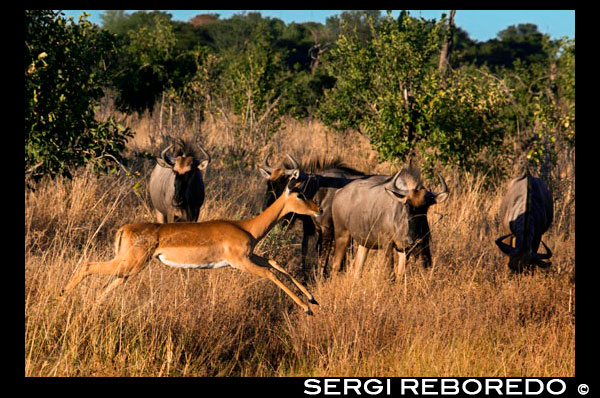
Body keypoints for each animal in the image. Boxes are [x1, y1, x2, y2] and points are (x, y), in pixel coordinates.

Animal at [60, 173, 322, 316]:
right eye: (299, 194)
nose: (318, 210)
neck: (247, 227)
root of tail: (123, 229)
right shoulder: (240, 262)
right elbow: (270, 273)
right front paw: (307, 308)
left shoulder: (249, 256)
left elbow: (274, 262)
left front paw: (313, 299)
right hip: (130, 264)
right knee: (88, 266)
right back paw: (61, 296)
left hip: (128, 268)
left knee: (103, 287)